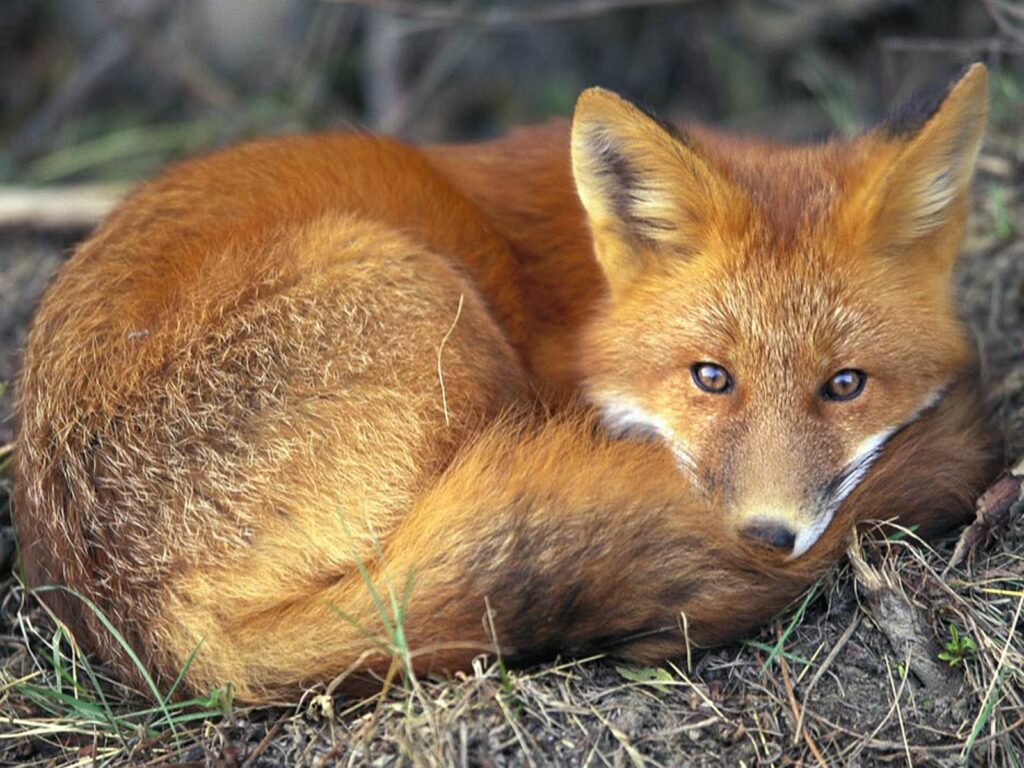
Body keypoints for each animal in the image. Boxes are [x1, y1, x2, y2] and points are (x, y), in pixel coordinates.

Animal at [14, 64, 999, 703]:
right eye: (711, 378)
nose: (767, 536)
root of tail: (145, 625)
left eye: (846, 384)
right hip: (430, 302)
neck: (587, 293)